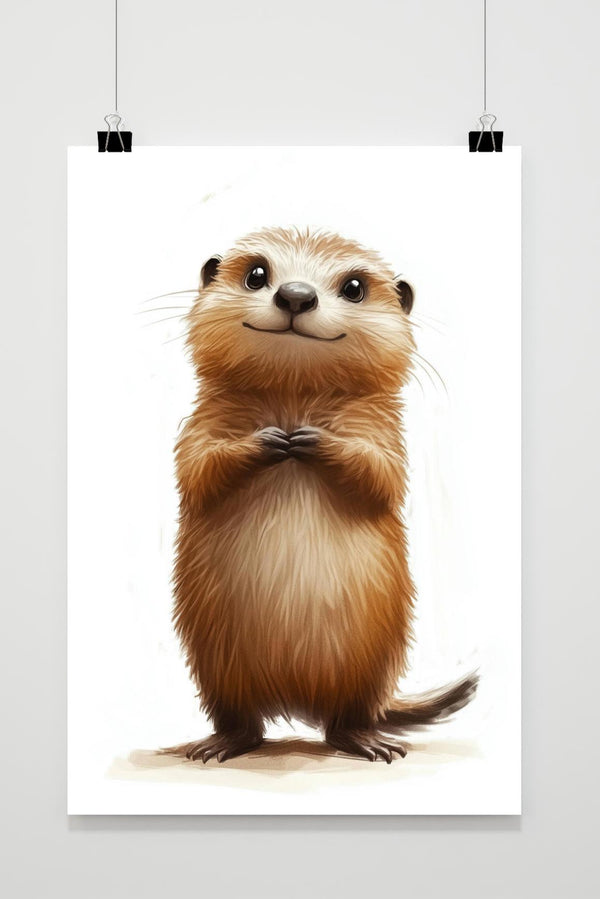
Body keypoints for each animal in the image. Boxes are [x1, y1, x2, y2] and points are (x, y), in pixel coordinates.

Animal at [173, 226, 477, 764]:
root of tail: (296, 703)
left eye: (355, 286)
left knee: (346, 721)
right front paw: (271, 440)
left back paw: (371, 743)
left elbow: (380, 475)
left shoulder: (385, 434)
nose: (296, 295)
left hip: (370, 665)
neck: (294, 395)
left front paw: (311, 439)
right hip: (216, 669)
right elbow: (199, 469)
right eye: (256, 273)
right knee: (243, 724)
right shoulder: (200, 425)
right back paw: (216, 745)